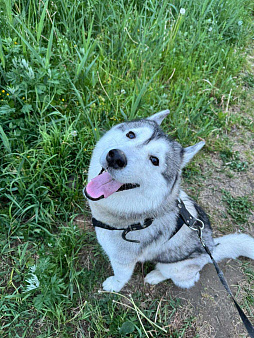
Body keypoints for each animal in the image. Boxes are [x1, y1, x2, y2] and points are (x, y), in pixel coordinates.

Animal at [84, 109, 254, 292]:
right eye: (131, 134)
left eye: (154, 160)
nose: (116, 157)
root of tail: (213, 248)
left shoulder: (123, 261)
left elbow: (120, 277)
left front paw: (113, 286)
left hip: (175, 267)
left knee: (185, 277)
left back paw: (155, 276)